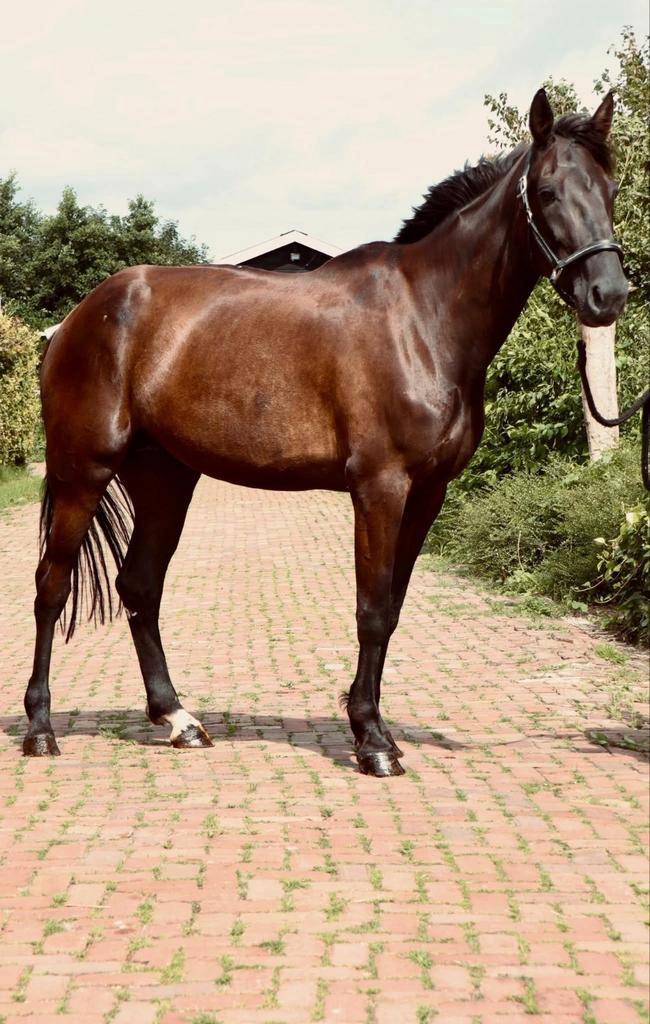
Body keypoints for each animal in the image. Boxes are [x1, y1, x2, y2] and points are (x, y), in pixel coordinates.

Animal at [23, 89, 628, 776]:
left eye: (610, 188)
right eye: (548, 191)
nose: (608, 294)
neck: (422, 319)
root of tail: (77, 319)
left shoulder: (429, 493)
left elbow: (392, 608)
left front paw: (370, 724)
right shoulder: (379, 488)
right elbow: (371, 609)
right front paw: (373, 742)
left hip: (164, 477)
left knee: (140, 586)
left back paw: (178, 719)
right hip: (82, 471)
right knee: (51, 586)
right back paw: (41, 728)